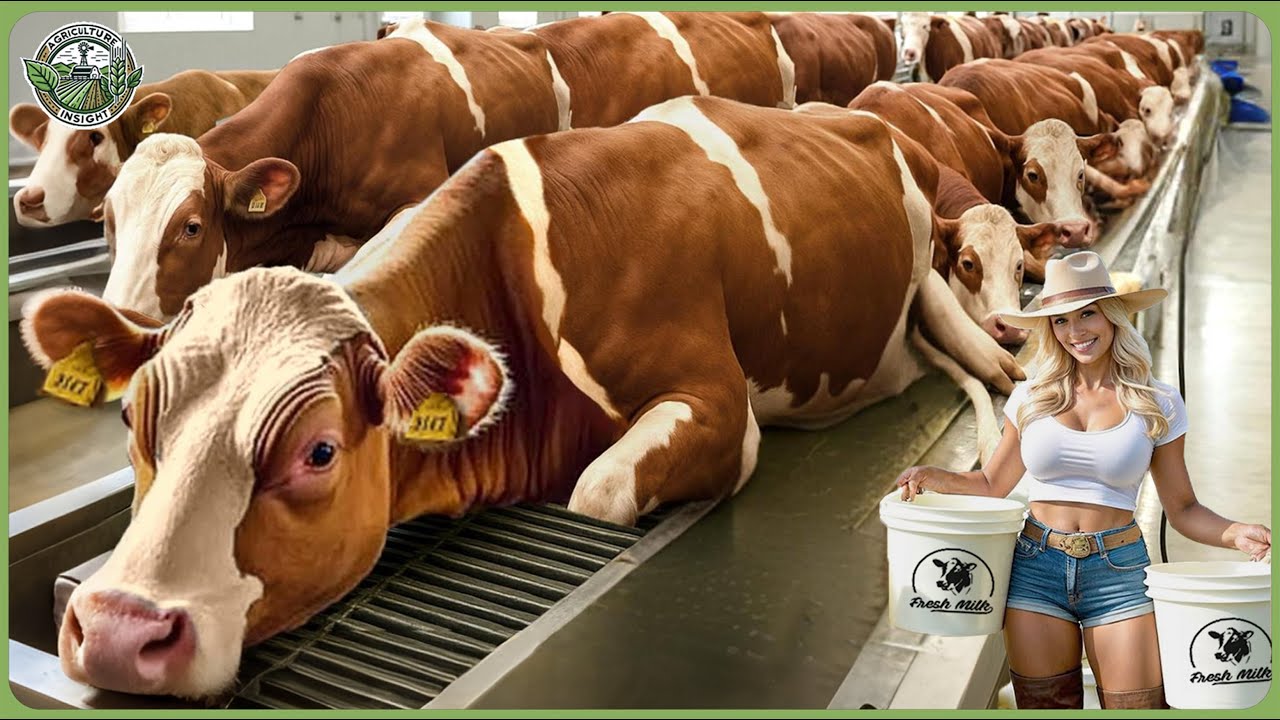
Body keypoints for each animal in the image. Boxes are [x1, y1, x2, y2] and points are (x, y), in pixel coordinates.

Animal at [24, 95, 1025, 699]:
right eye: (131, 416)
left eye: (318, 450)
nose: (115, 629)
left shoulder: (719, 406)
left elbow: (596, 494)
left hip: (940, 283)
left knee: (987, 362)